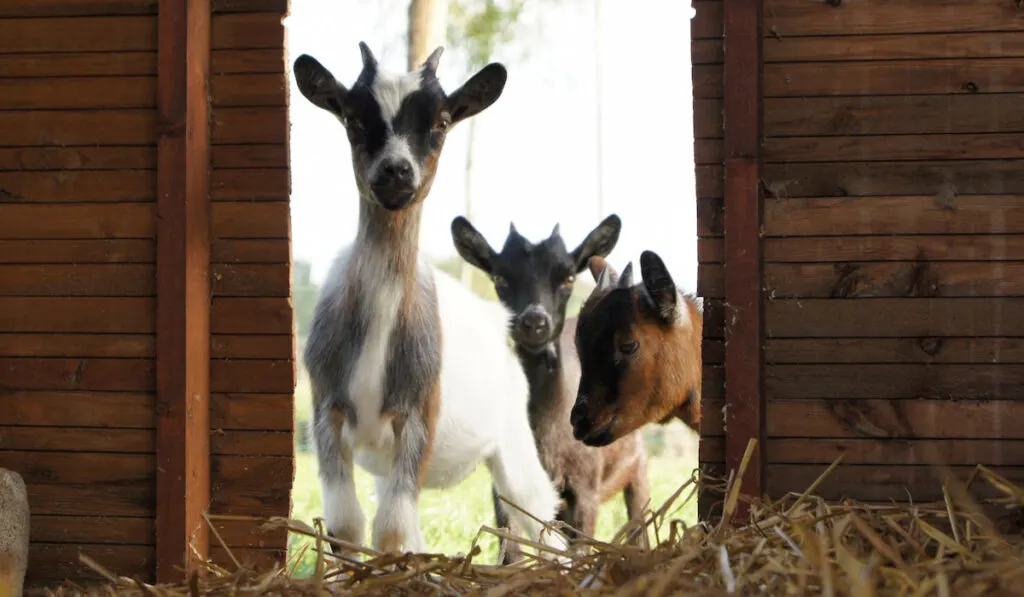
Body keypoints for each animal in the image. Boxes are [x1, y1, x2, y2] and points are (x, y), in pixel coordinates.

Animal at [292, 44, 565, 557]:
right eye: (353, 117)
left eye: (440, 121)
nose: (396, 170)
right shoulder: (325, 408)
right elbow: (349, 526)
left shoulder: (418, 412)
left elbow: (390, 531)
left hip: (514, 439)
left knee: (540, 513)